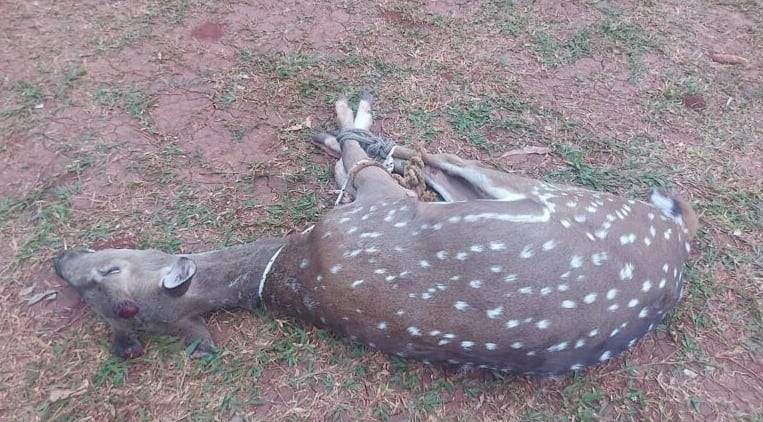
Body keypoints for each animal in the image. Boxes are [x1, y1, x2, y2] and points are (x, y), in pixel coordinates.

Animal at [55, 93, 700, 376]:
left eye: (107, 271)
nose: (61, 260)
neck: (284, 271)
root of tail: (677, 247)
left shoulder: (367, 213)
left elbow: (359, 171)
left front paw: (340, 137)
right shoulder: (374, 214)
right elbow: (368, 170)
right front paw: (348, 130)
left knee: (434, 163)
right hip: (565, 199)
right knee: (442, 162)